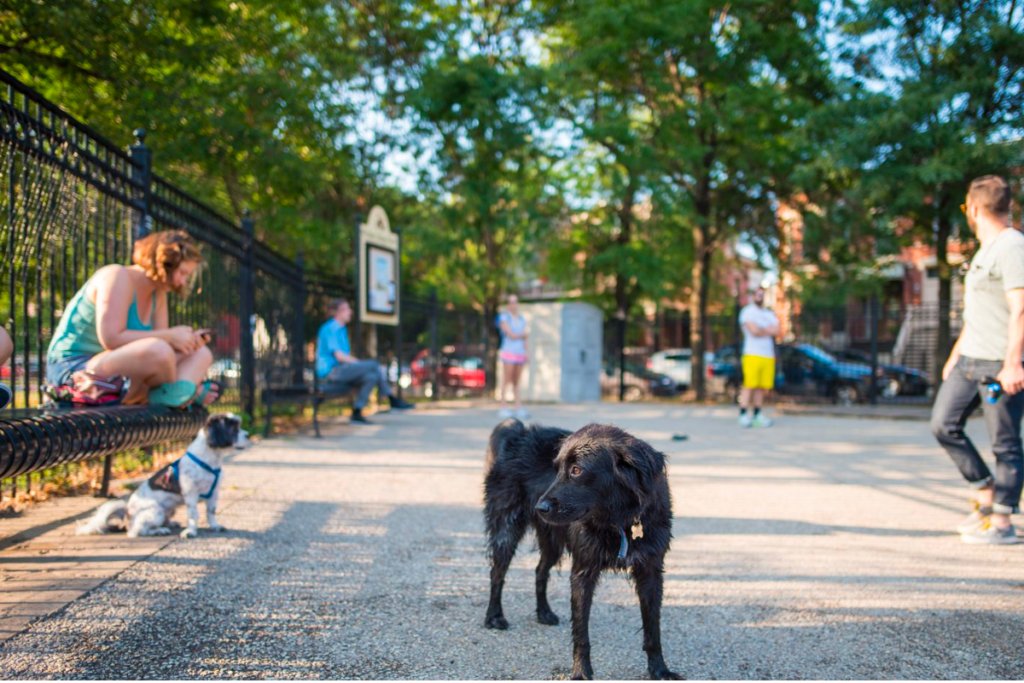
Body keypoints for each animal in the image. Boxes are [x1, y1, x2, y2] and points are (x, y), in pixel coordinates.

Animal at [76, 411, 248, 540]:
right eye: (234, 428)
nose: (247, 435)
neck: (210, 460)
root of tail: (127, 514)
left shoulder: (214, 492)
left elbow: (211, 512)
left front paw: (215, 526)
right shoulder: (191, 493)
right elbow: (193, 514)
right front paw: (191, 531)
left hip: (168, 510)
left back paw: (170, 524)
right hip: (155, 511)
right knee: (136, 531)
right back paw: (159, 530)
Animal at [485, 419, 684, 679]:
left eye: (577, 470)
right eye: (557, 470)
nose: (540, 507)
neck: (619, 520)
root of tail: (518, 432)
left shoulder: (650, 572)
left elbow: (653, 629)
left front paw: (659, 670)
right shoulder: (583, 571)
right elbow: (581, 633)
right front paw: (581, 672)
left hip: (552, 542)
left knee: (540, 570)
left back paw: (543, 613)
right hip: (506, 531)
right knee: (497, 573)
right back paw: (494, 616)